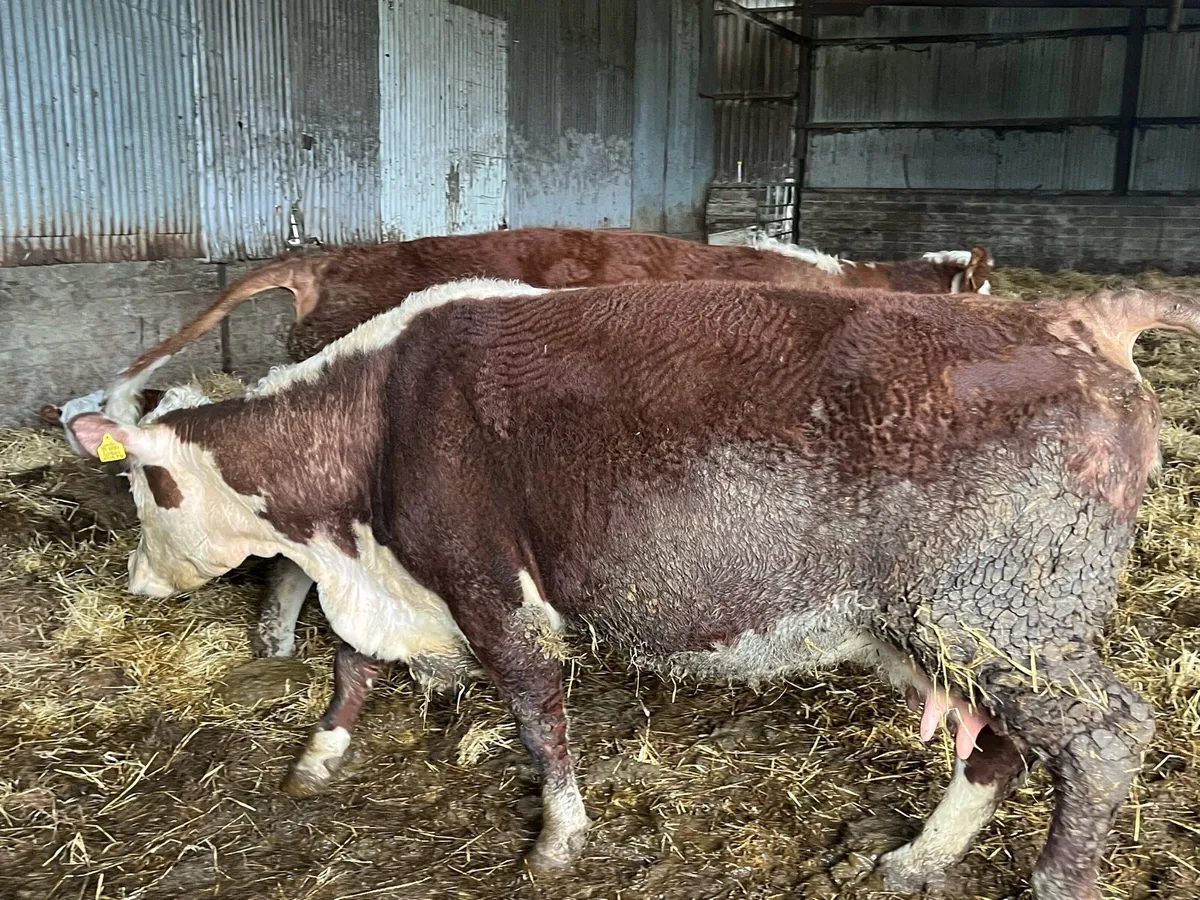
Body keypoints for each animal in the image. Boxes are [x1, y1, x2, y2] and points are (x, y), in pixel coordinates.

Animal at [66, 275, 1191, 899]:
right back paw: (916, 859)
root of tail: (1080, 322)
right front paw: (322, 754)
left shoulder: (489, 581)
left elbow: (537, 712)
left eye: (139, 483)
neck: (374, 418)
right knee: (999, 743)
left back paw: (1053, 882)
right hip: (968, 626)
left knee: (1104, 736)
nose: (132, 577)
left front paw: (559, 838)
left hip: (1003, 614)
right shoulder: (401, 574)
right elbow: (352, 667)